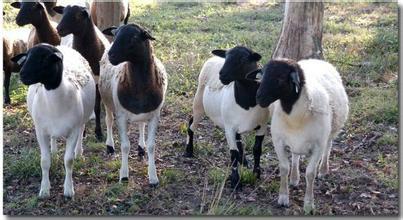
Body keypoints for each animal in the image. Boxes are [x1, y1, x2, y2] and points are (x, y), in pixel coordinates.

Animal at [11, 43, 96, 198]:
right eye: (26, 57)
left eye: (45, 59)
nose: (22, 74)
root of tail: (63, 45)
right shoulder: (40, 131)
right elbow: (44, 161)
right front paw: (44, 190)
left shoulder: (73, 130)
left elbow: (68, 160)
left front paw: (68, 190)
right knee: (53, 138)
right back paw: (54, 151)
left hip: (83, 117)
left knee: (82, 129)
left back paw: (78, 152)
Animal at [187, 46, 272, 187]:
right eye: (226, 57)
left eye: (243, 59)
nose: (222, 75)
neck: (246, 102)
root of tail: (213, 58)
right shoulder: (229, 128)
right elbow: (233, 153)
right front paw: (235, 180)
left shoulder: (262, 125)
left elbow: (257, 149)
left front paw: (256, 173)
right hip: (199, 102)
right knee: (191, 124)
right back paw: (188, 151)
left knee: (238, 139)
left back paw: (244, 161)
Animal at [248, 58, 348, 213]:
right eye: (262, 75)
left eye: (280, 78)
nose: (258, 97)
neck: (294, 116)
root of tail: (316, 60)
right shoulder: (278, 141)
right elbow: (284, 168)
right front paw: (283, 198)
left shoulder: (318, 145)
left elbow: (310, 173)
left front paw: (309, 204)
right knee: (295, 156)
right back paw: (294, 178)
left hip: (332, 129)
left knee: (328, 146)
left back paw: (323, 169)